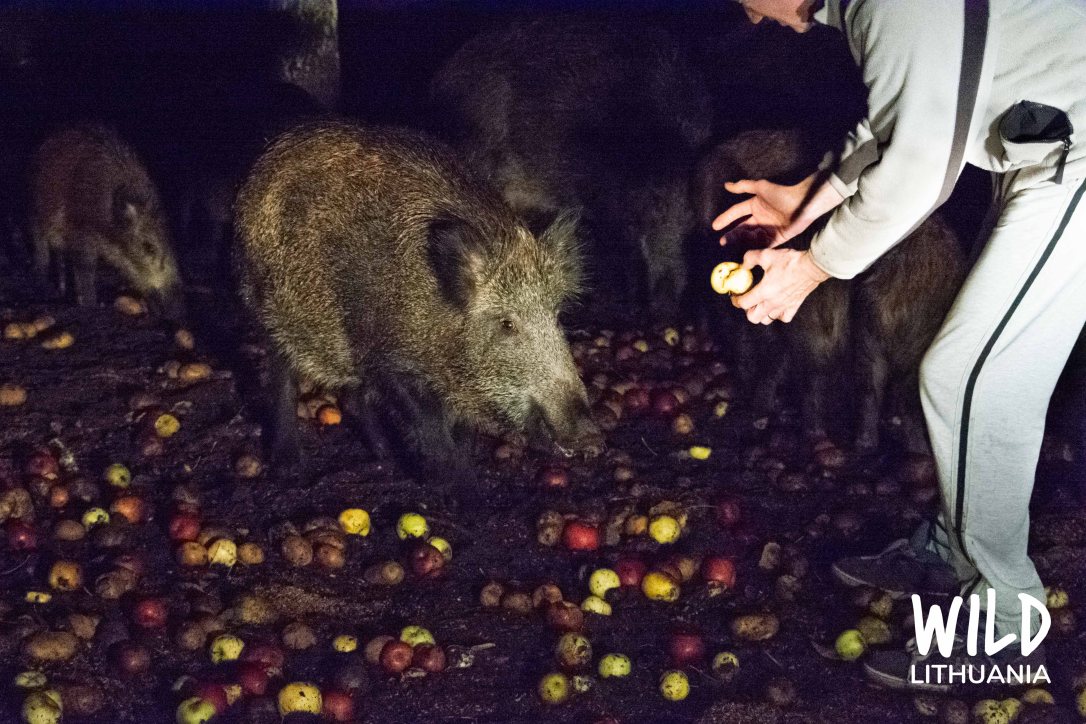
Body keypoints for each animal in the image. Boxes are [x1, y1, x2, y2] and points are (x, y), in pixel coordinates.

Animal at [30, 125, 183, 317]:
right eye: (149, 247)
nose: (179, 313)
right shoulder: (81, 232)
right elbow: (86, 269)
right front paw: (90, 305)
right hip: (37, 215)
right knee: (42, 251)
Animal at [234, 121, 604, 479]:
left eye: (556, 316)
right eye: (507, 323)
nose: (591, 437)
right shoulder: (389, 357)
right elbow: (432, 430)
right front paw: (457, 481)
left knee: (353, 396)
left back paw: (383, 457)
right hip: (268, 303)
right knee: (283, 376)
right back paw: (289, 466)